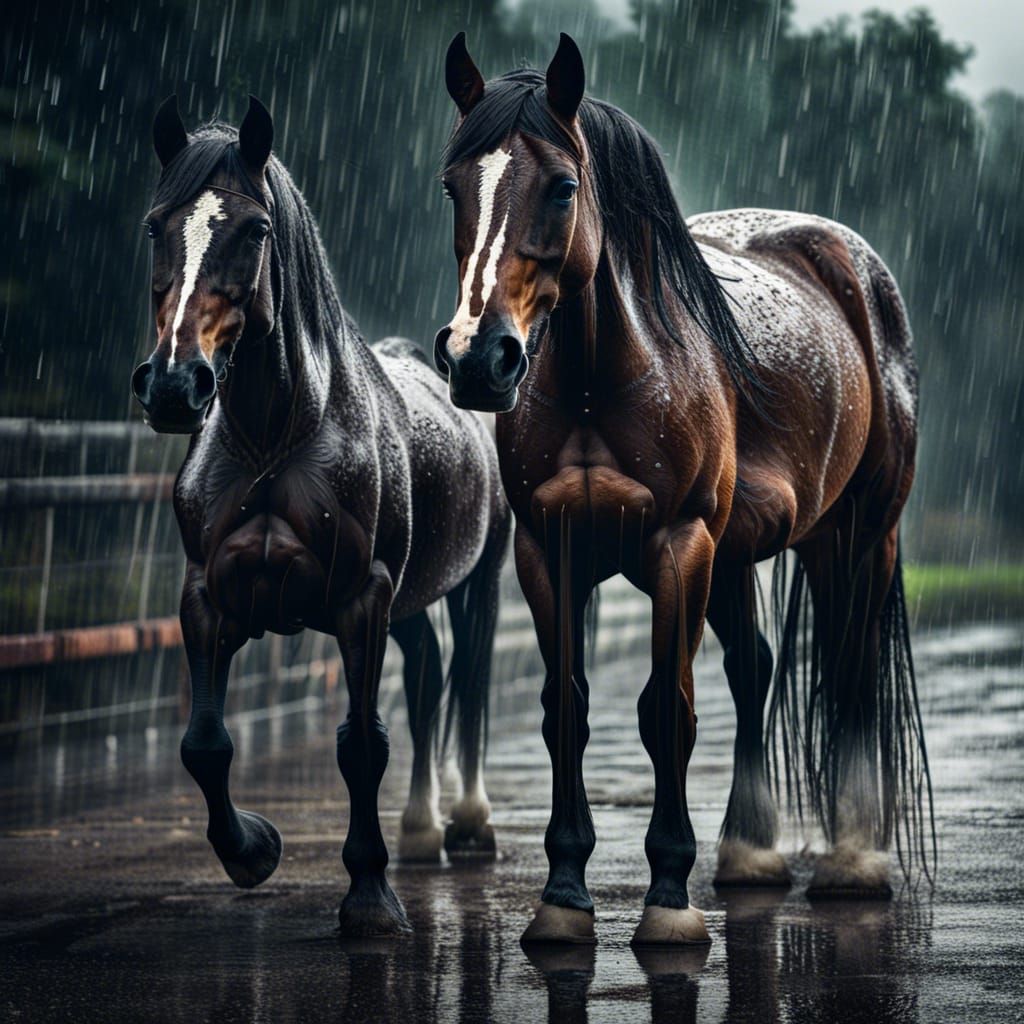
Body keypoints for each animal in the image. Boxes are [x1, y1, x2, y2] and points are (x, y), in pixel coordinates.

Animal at [130, 96, 510, 937]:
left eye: (254, 230)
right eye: (155, 224)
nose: (173, 385)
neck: (277, 436)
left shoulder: (361, 599)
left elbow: (361, 745)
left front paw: (369, 899)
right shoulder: (206, 598)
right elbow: (204, 744)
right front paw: (254, 850)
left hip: (478, 579)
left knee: (468, 682)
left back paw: (467, 822)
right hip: (411, 600)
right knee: (429, 679)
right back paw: (421, 830)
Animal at [433, 33, 933, 946]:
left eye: (562, 187)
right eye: (454, 185)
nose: (478, 359)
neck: (597, 382)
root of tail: (854, 268)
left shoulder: (679, 547)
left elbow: (666, 708)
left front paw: (669, 897)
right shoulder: (549, 552)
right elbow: (567, 708)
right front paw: (563, 894)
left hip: (855, 532)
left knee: (848, 669)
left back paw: (852, 860)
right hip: (740, 554)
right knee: (754, 668)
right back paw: (750, 854)